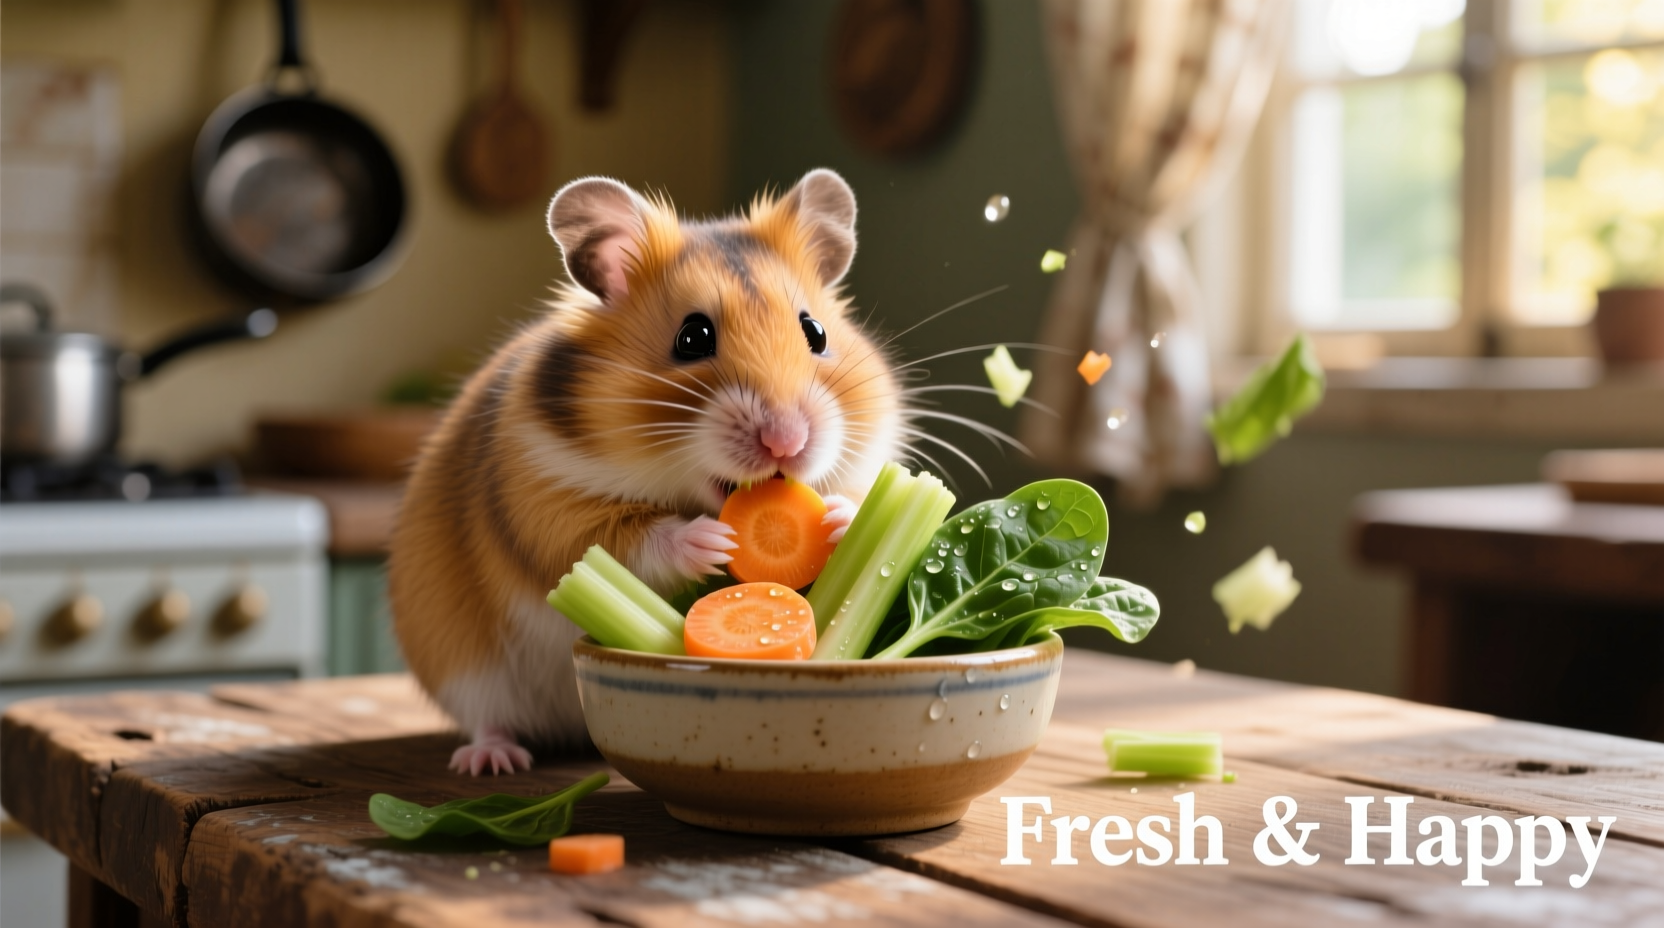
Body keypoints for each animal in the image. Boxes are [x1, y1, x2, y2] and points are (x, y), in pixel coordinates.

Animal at [388, 169, 902, 775]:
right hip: (464, 666)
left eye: (816, 333)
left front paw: (842, 519)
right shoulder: (543, 499)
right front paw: (714, 541)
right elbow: (623, 541)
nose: (787, 441)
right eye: (693, 337)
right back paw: (493, 761)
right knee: (487, 718)